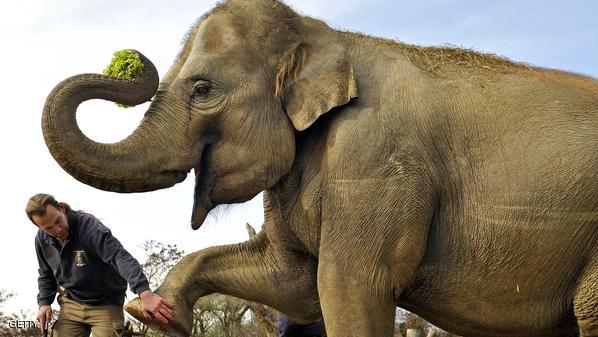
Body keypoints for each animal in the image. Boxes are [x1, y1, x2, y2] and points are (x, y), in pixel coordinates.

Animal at [39, 0, 596, 336]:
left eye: (201, 89)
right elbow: (295, 285)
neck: (326, 35)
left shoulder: (376, 161)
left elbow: (348, 285)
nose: (130, 62)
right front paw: (160, 314)